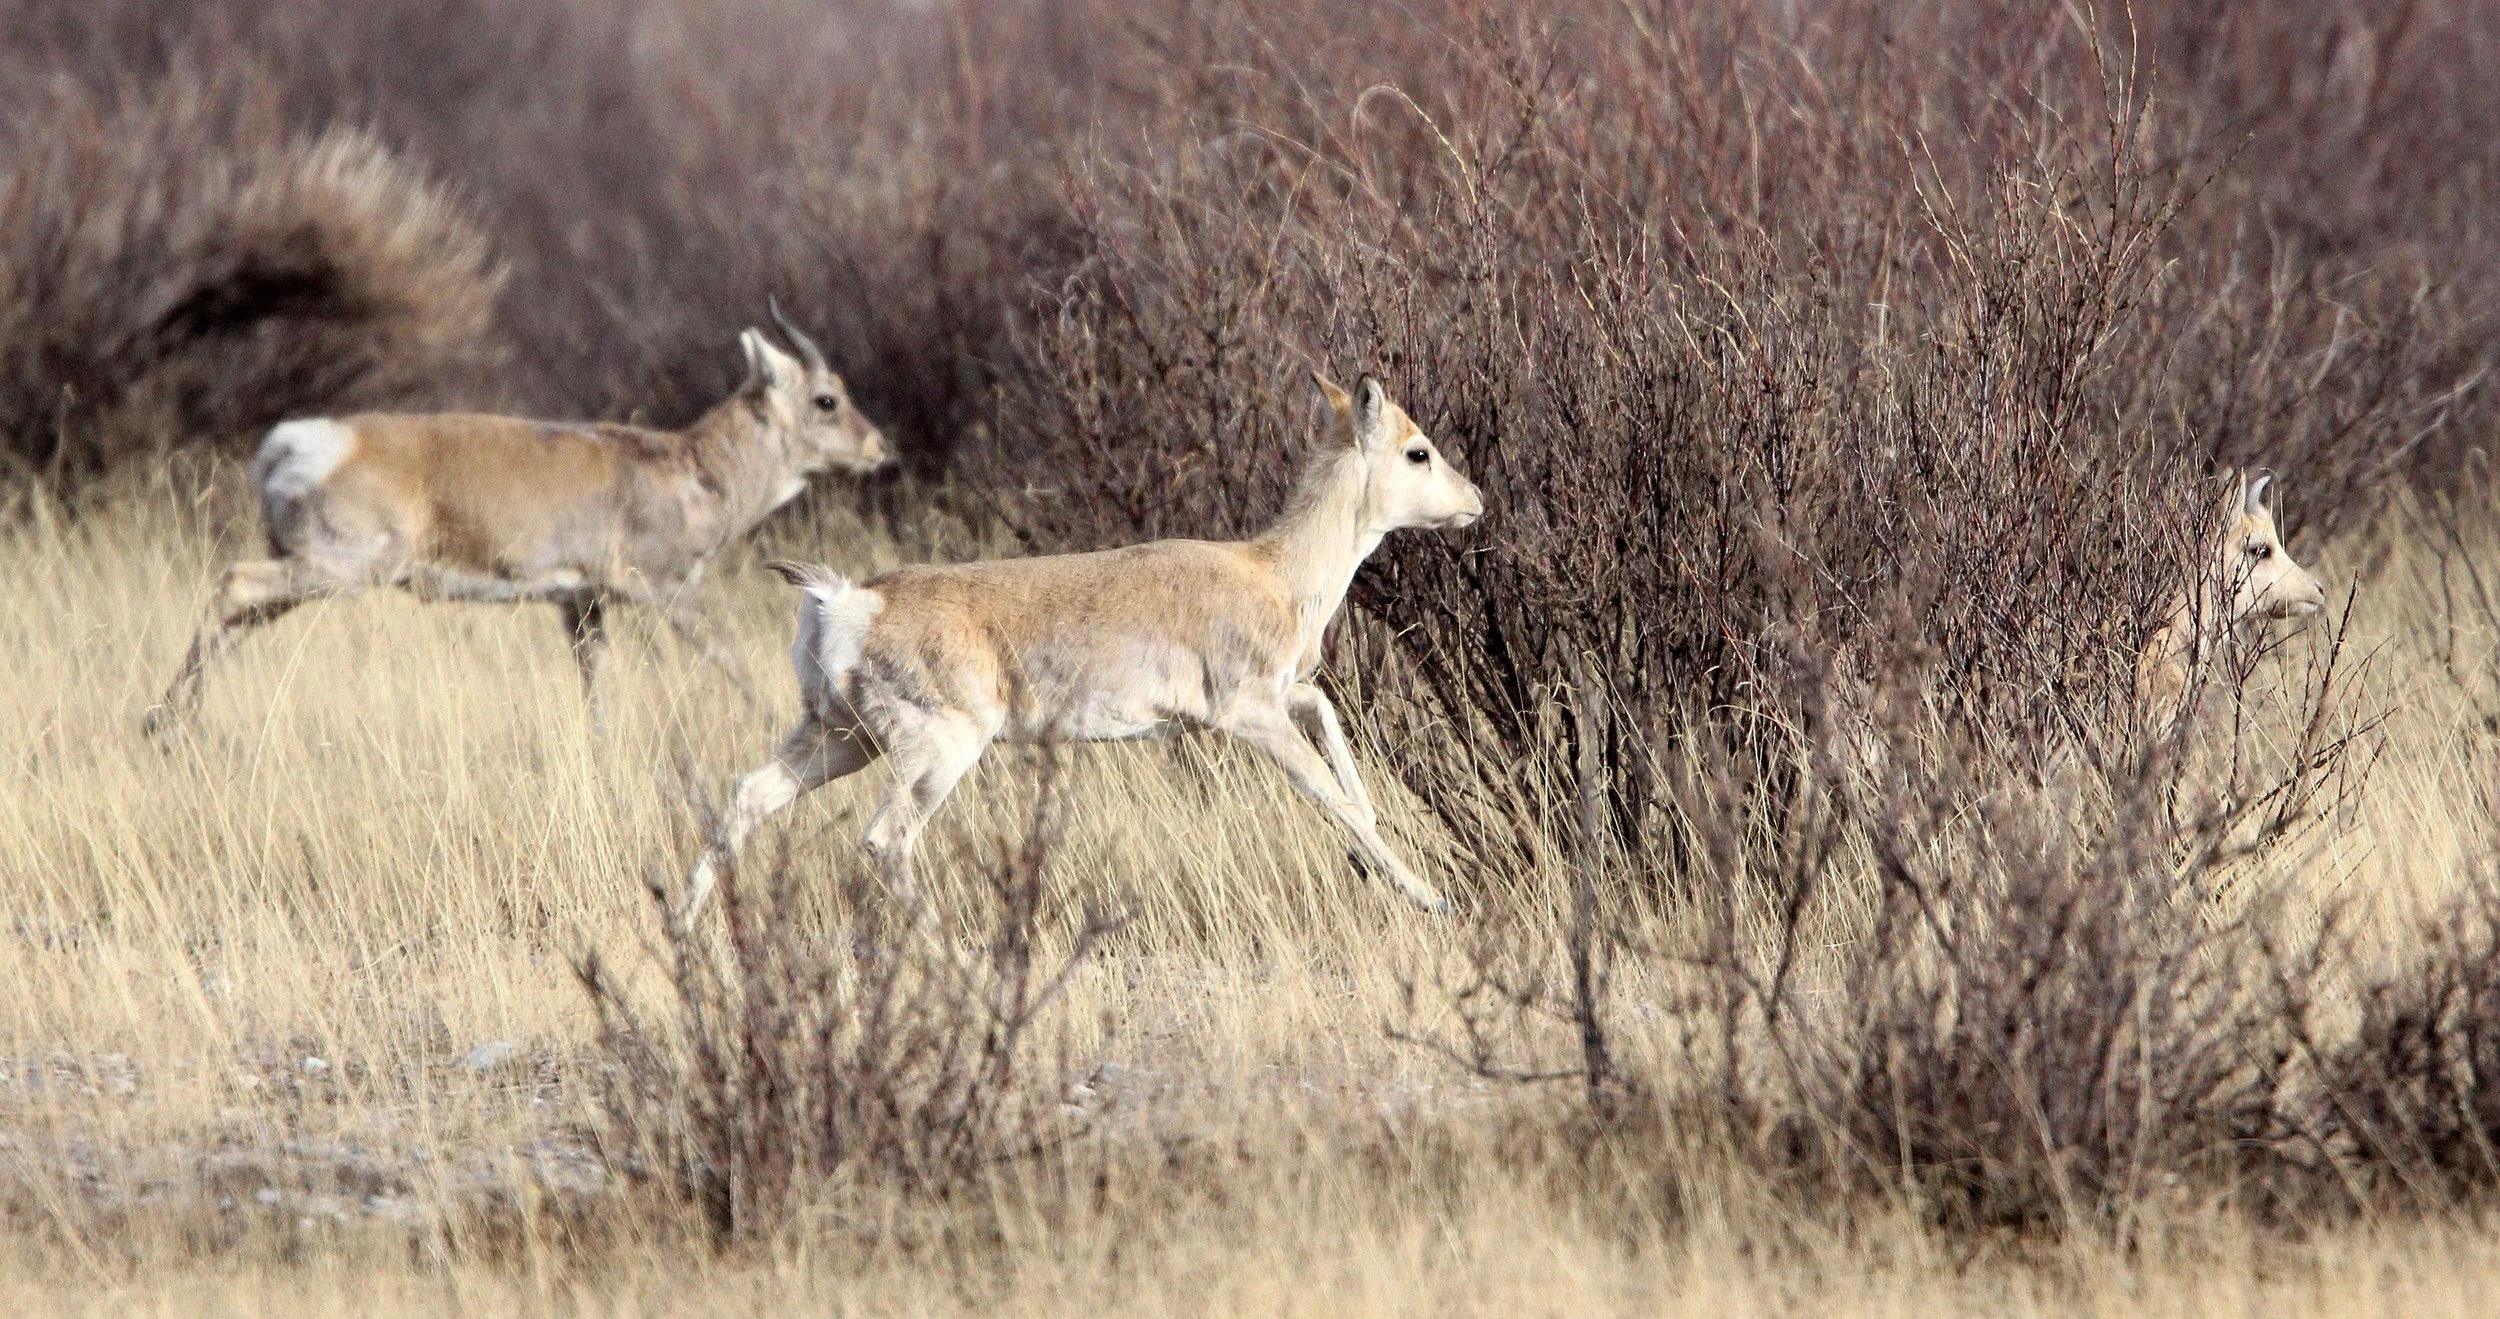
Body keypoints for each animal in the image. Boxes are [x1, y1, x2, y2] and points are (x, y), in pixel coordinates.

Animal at [143, 303, 891, 738]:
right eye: (826, 398)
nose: (881, 448)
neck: (687, 465)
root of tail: (301, 441)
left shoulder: (582, 605)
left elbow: (594, 682)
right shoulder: (666, 591)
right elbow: (730, 656)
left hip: (309, 572)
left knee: (238, 616)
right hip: (340, 569)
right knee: (233, 586)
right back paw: (167, 725)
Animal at [684, 372, 1484, 921]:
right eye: (1418, 450)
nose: (1476, 500)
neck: (1271, 571)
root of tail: (849, 598)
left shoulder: (1277, 696)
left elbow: (1329, 718)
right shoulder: (1248, 714)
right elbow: (1328, 792)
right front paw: (1433, 896)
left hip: (841, 737)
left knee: (747, 796)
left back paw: (689, 934)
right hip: (938, 750)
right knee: (885, 838)